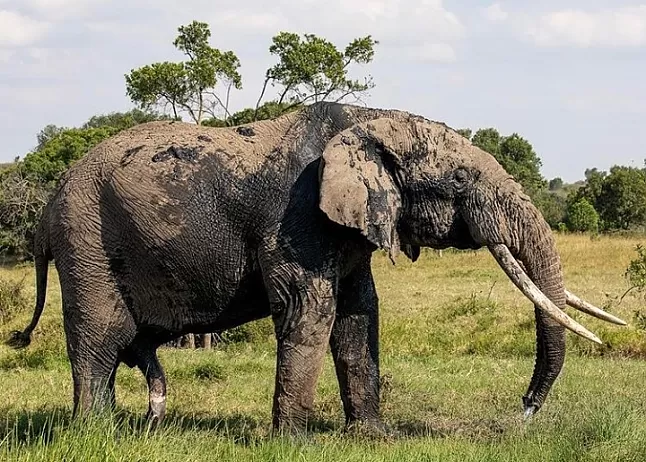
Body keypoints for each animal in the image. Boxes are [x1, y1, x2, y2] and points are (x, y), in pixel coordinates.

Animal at [7, 101, 628, 434]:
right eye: (458, 180)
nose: (523, 411)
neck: (367, 119)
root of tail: (45, 212)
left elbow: (358, 316)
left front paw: (373, 438)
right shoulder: (297, 217)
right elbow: (309, 310)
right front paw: (294, 443)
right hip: (85, 241)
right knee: (100, 340)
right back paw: (96, 432)